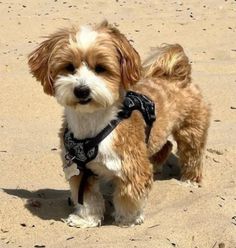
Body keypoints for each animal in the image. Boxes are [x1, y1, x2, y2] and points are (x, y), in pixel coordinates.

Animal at [27, 20, 210, 228]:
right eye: (69, 67)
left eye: (100, 68)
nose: (81, 90)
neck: (93, 124)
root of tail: (176, 76)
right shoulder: (80, 171)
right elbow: (88, 199)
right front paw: (86, 219)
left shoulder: (132, 166)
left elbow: (128, 196)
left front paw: (128, 218)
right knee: (166, 145)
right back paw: (156, 165)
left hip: (191, 130)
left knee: (192, 154)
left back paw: (189, 179)